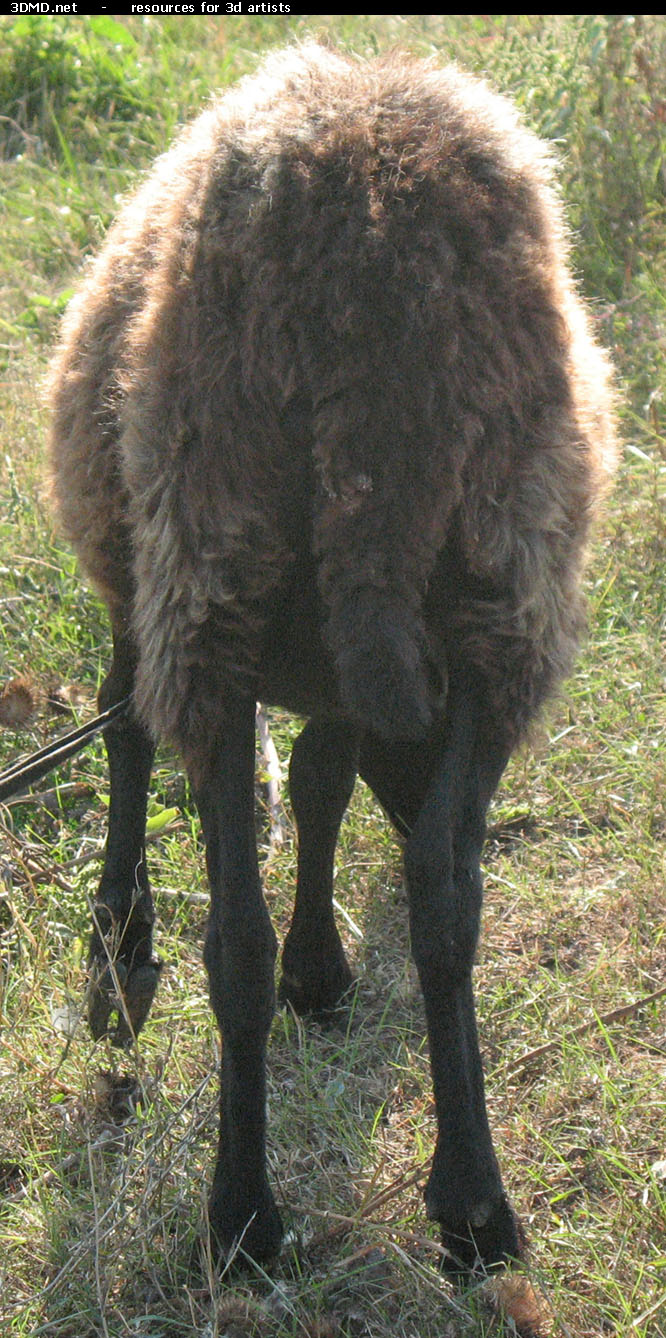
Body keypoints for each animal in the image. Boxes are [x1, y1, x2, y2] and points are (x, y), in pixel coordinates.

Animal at [48, 41, 617, 1273]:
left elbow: (302, 786)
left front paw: (303, 968)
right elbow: (323, 780)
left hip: (220, 582)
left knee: (238, 902)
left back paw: (259, 1212)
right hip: (488, 589)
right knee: (437, 889)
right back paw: (456, 1205)